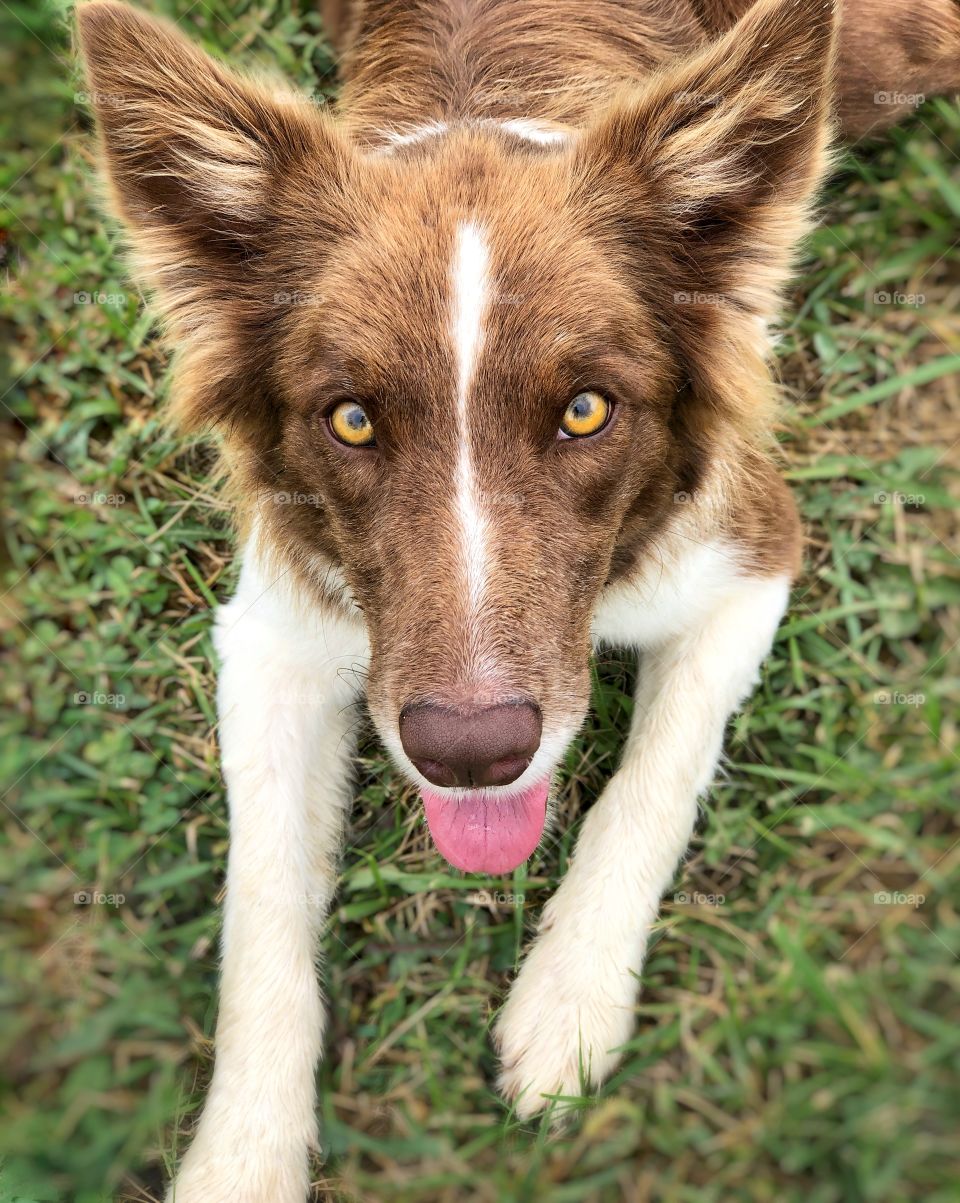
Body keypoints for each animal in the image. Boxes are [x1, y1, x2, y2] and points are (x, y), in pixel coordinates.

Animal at [76, 0, 960, 1198]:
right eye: (351, 419)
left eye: (586, 410)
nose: (471, 755)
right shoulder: (271, 636)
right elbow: (260, 911)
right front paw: (242, 1157)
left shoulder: (751, 552)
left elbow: (650, 784)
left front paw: (569, 1006)